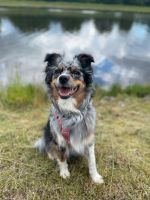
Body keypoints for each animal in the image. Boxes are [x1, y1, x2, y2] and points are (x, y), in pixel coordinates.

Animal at [34, 52, 103, 184]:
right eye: (57, 71)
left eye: (75, 72)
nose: (63, 78)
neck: (71, 112)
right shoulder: (59, 139)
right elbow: (61, 157)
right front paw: (64, 173)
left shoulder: (88, 138)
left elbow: (92, 160)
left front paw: (95, 177)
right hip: (48, 133)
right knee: (48, 146)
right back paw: (52, 155)